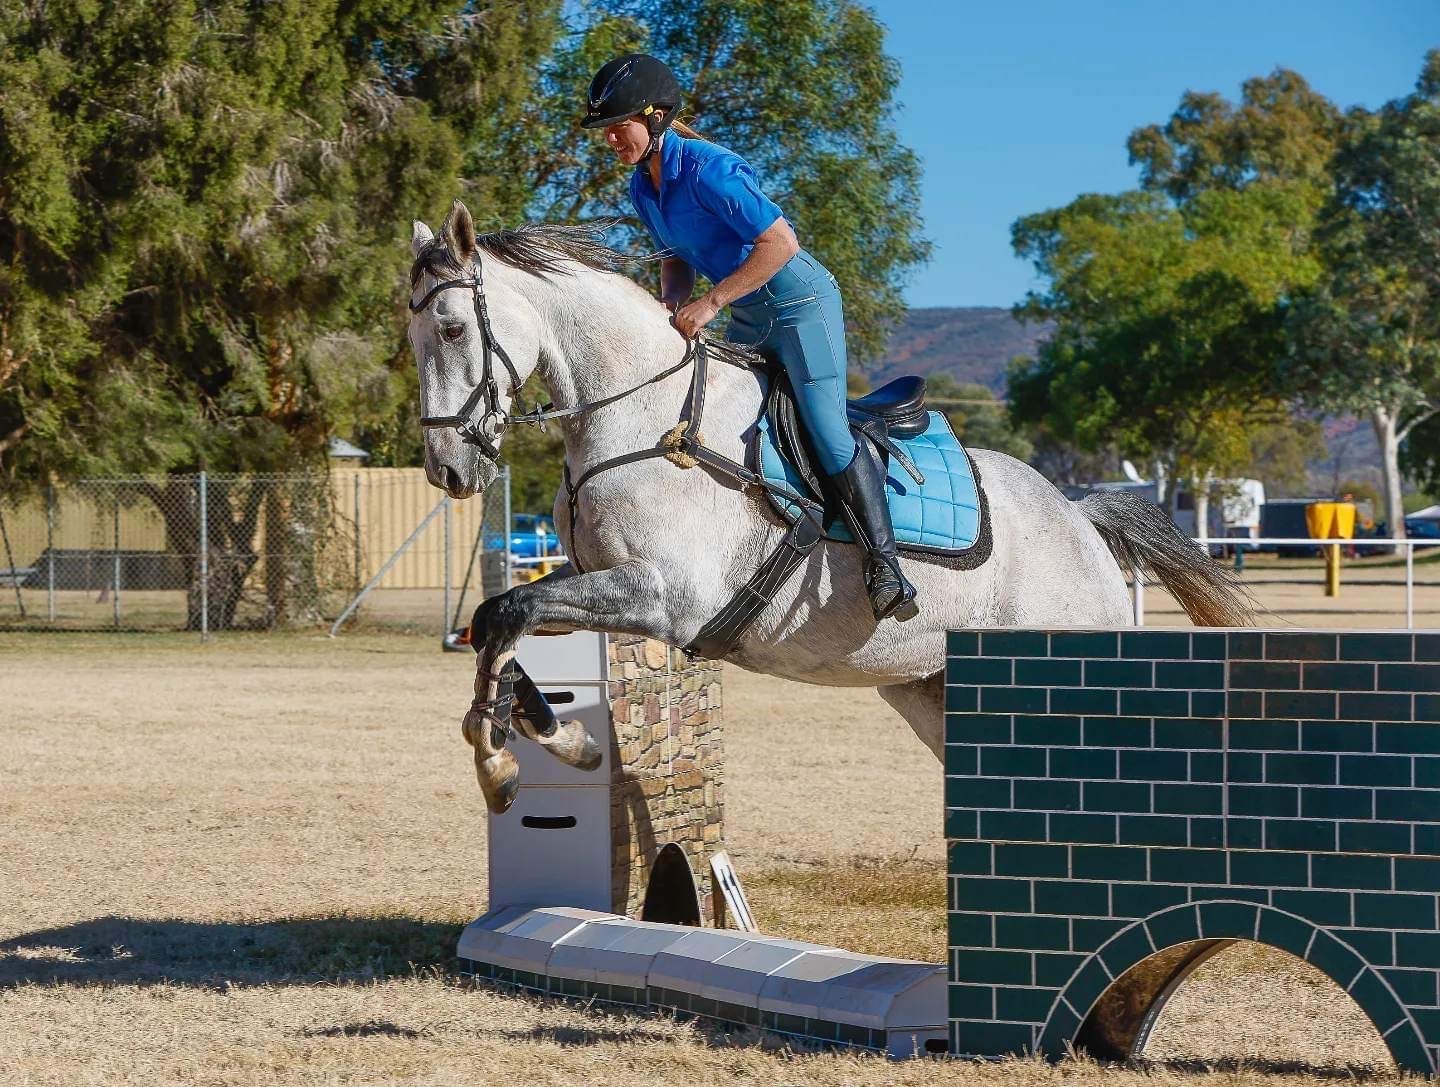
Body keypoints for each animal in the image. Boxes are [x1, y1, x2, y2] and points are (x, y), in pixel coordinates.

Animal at [408, 205, 1249, 817]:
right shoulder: (589, 577)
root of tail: (1081, 520)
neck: (640, 412)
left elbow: (510, 612)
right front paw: (546, 742)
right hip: (930, 686)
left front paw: (501, 753)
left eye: (451, 329)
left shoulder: (664, 595)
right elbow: (498, 616)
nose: (448, 468)